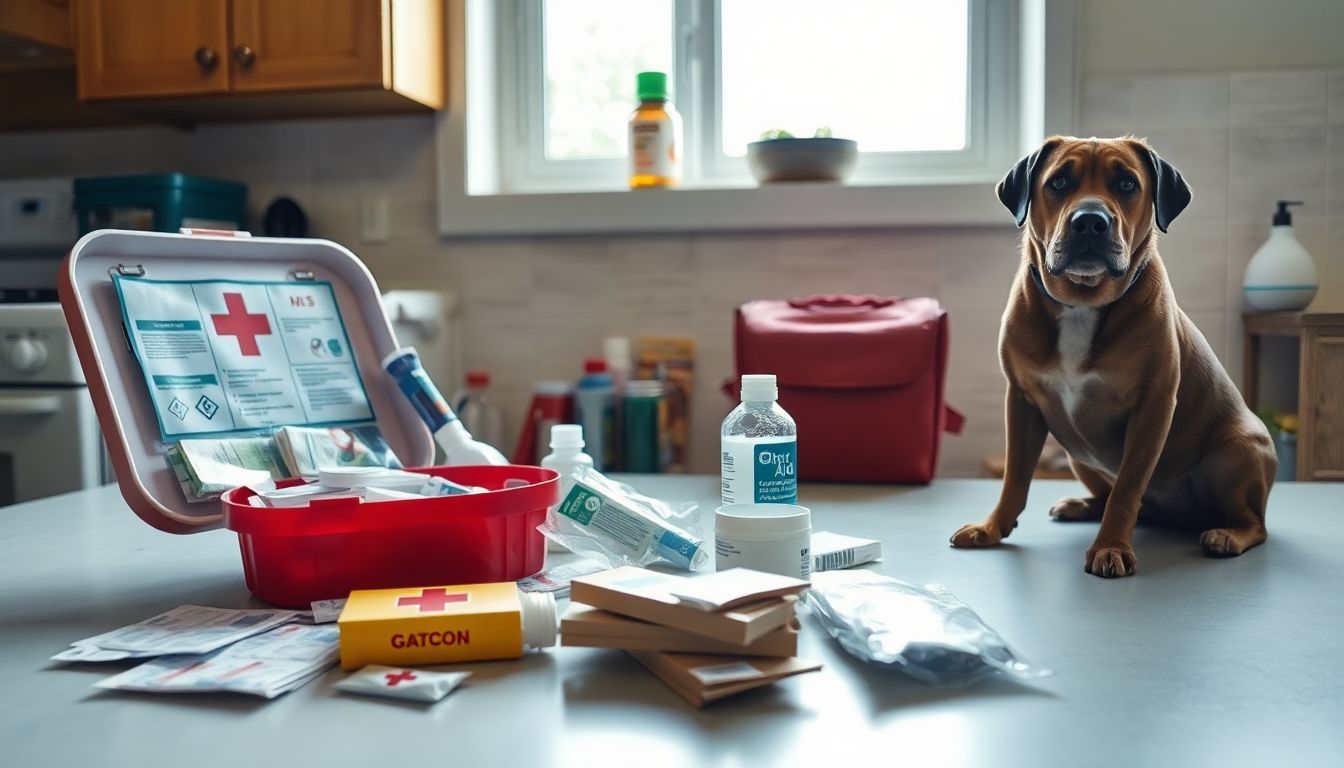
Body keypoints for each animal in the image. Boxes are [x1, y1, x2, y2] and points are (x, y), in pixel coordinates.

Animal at [951, 136, 1274, 575]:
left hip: (1239, 452)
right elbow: (1015, 477)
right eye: (1058, 182)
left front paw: (1111, 547)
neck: (1082, 302)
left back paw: (1229, 534)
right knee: (1106, 495)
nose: (1090, 220)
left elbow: (1126, 489)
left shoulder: (1152, 408)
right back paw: (1080, 505)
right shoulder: (1021, 401)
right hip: (1078, 457)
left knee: (1255, 523)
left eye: (1126, 184)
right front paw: (992, 527)